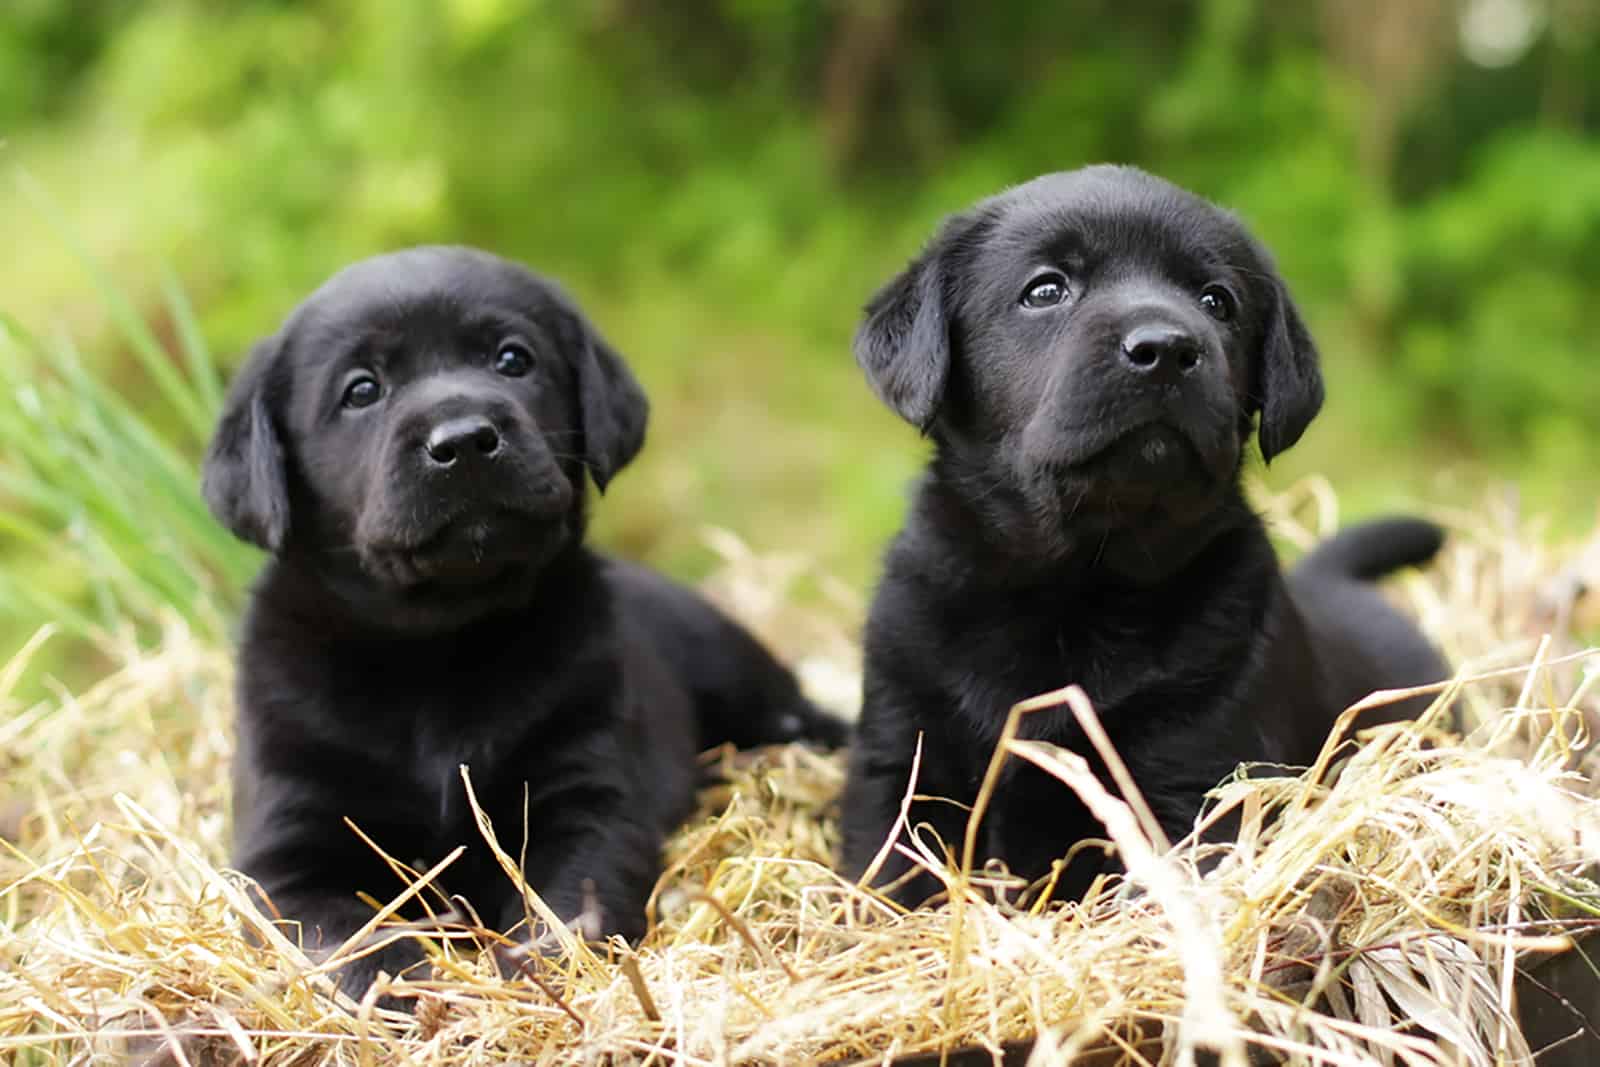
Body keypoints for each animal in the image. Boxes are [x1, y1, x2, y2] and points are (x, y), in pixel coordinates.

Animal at [206, 246, 851, 998]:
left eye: (512, 359)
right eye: (362, 390)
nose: (463, 440)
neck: (434, 648)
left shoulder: (587, 799)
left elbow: (567, 903)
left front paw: (537, 972)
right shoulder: (287, 850)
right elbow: (342, 933)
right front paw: (403, 985)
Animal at [844, 168, 1459, 908]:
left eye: (1217, 301)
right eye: (1045, 289)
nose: (1166, 349)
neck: (1076, 584)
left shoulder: (1200, 775)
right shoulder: (901, 752)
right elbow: (888, 873)